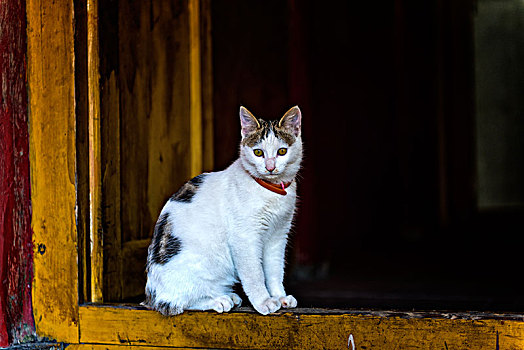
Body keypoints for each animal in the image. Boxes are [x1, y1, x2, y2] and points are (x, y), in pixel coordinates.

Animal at [144, 105, 302, 316]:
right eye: (258, 152)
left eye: (282, 151)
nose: (270, 167)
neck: (271, 191)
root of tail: (151, 295)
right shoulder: (244, 238)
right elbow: (254, 274)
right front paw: (264, 301)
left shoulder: (278, 236)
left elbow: (274, 270)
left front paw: (280, 296)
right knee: (178, 302)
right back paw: (218, 300)